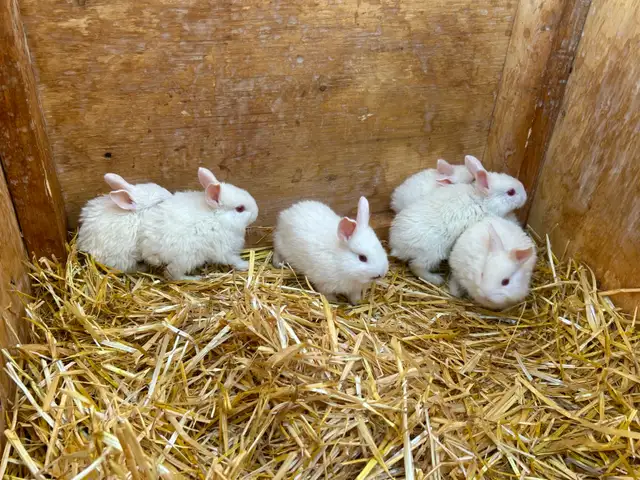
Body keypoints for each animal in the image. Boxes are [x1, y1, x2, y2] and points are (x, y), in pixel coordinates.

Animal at [389, 155, 527, 286]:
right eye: (511, 192)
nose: (525, 196)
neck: (482, 200)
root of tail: (396, 246)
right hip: (431, 255)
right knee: (416, 266)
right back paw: (436, 279)